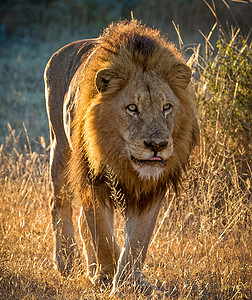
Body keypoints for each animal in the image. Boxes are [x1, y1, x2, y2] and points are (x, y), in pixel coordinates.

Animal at [44, 19, 199, 294]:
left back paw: (91, 268)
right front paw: (107, 276)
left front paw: (129, 282)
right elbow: (102, 234)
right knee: (59, 203)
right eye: (132, 108)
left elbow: (138, 239)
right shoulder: (92, 178)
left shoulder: (152, 189)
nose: (157, 145)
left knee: (82, 218)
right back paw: (66, 261)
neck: (122, 158)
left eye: (166, 107)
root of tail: (59, 52)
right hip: (60, 148)